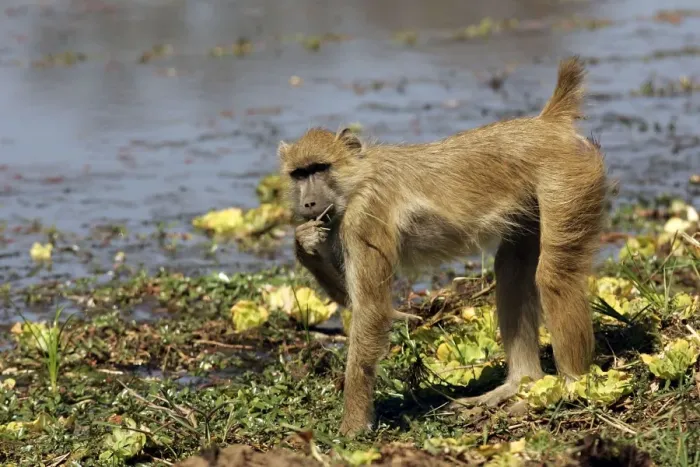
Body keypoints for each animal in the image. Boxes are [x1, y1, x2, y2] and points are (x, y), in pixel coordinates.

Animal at [278, 56, 608, 437]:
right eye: (299, 174)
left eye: (320, 168)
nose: (308, 203)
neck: (358, 178)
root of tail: (546, 124)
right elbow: (354, 299)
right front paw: (304, 242)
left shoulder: (365, 215)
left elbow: (371, 310)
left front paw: (354, 426)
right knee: (512, 270)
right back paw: (520, 383)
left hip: (568, 179)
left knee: (555, 276)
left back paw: (570, 388)